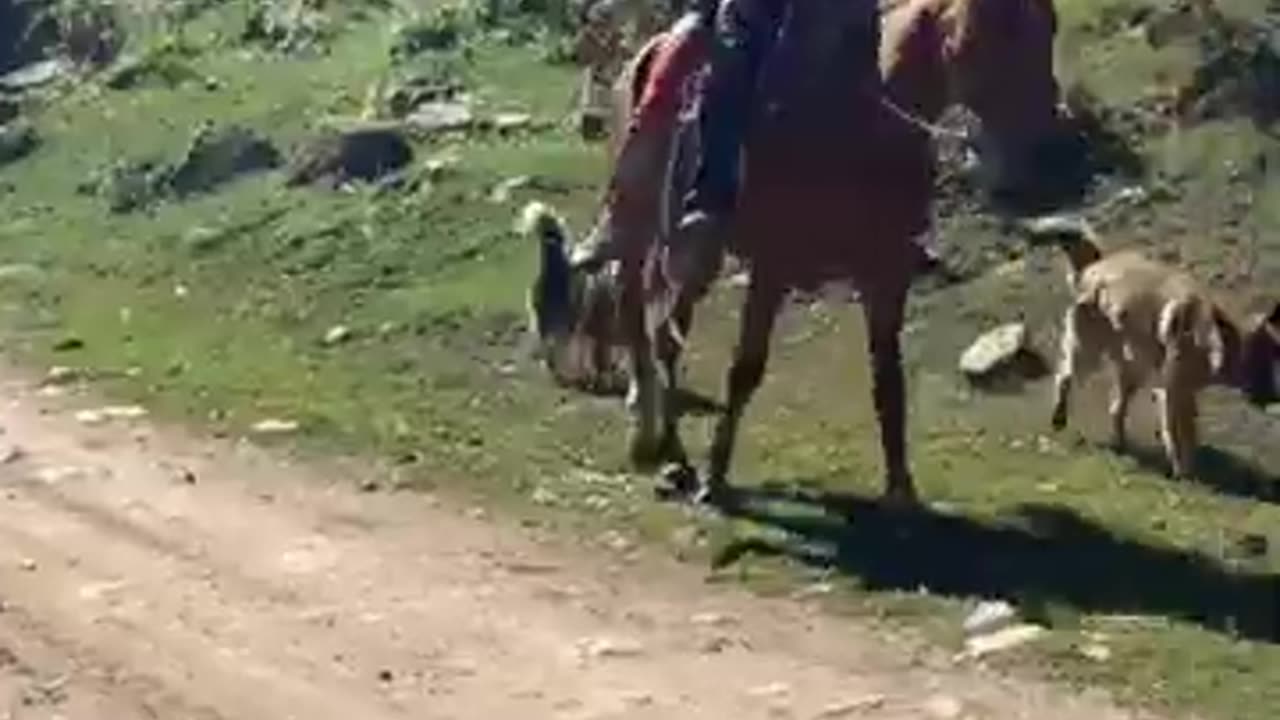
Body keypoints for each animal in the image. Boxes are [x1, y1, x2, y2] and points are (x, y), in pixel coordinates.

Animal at [535, 0, 1064, 504]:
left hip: (694, 255)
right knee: (639, 327)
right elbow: (745, 369)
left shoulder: (887, 273)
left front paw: (901, 488)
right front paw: (715, 477)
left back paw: (667, 448)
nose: (1044, 151)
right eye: (1003, 31)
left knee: (665, 333)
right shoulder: (774, 265)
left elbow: (887, 379)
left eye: (1049, 30)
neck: (856, 125)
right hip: (641, 240)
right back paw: (658, 444)